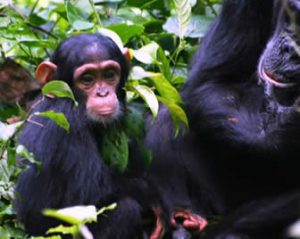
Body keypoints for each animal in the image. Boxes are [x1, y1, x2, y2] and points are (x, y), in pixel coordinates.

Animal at [15, 33, 165, 239]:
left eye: (109, 74)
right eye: (87, 79)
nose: (103, 93)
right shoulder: (67, 120)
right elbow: (92, 193)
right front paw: (154, 196)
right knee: (126, 210)